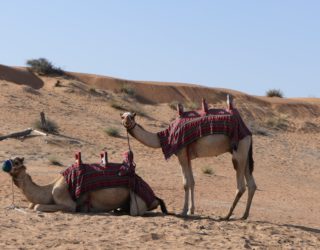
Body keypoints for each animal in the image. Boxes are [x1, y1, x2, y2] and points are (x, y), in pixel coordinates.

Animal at [2, 157, 168, 216]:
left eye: (16, 162)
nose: (4, 164)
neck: (49, 188)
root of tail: (153, 195)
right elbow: (32, 204)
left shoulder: (65, 199)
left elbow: (37, 206)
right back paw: (117, 211)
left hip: (138, 200)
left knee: (136, 211)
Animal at [120, 97, 258, 219]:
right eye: (123, 116)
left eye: (132, 116)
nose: (126, 121)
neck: (165, 137)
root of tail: (247, 130)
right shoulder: (187, 156)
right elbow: (192, 181)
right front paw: (191, 210)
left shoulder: (181, 153)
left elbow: (186, 183)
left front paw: (183, 211)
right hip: (245, 152)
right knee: (252, 184)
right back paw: (244, 215)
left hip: (239, 151)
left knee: (241, 186)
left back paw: (227, 215)